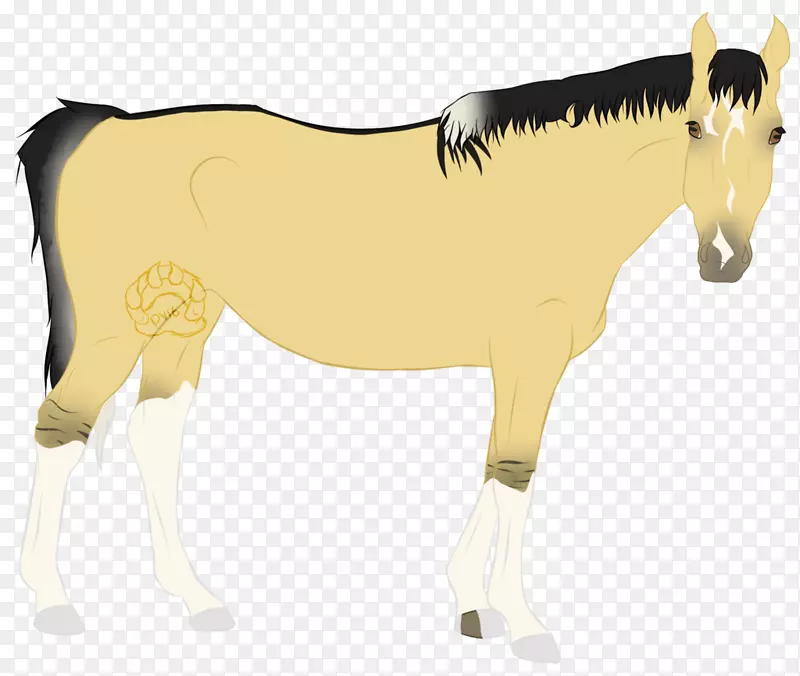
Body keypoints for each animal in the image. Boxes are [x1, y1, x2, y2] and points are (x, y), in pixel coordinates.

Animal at [16, 13, 789, 663]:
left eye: (777, 132)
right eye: (693, 126)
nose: (725, 258)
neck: (553, 189)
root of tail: (106, 126)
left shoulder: (516, 362)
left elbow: (495, 465)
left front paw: (471, 604)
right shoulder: (531, 351)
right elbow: (516, 468)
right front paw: (524, 622)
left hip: (183, 320)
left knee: (152, 433)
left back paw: (196, 600)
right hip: (116, 327)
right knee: (62, 428)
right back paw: (52, 603)